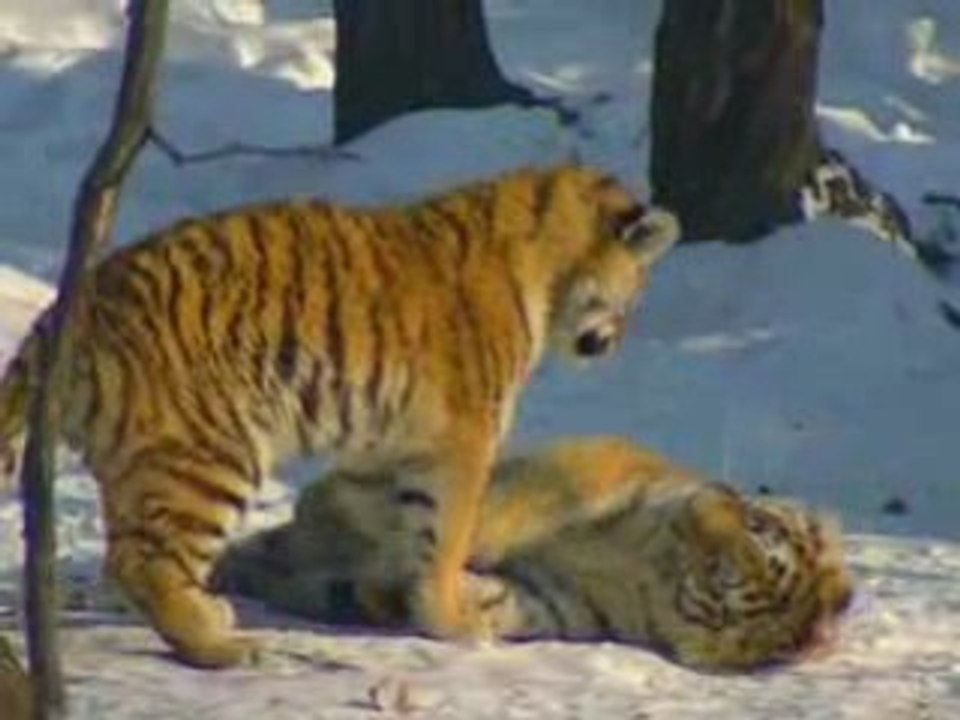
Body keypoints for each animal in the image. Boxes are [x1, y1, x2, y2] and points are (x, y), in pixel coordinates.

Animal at [0, 165, 679, 668]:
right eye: (637, 290)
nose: (613, 342)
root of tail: (71, 308)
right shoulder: (463, 439)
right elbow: (448, 535)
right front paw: (456, 622)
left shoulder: (391, 445)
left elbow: (406, 528)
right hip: (211, 454)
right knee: (141, 563)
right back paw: (223, 646)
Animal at [215, 436, 854, 671]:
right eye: (756, 520)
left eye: (723, 582)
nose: (707, 503)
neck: (647, 566)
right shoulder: (557, 481)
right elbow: (480, 518)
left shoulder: (560, 602)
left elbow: (500, 598)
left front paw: (443, 602)